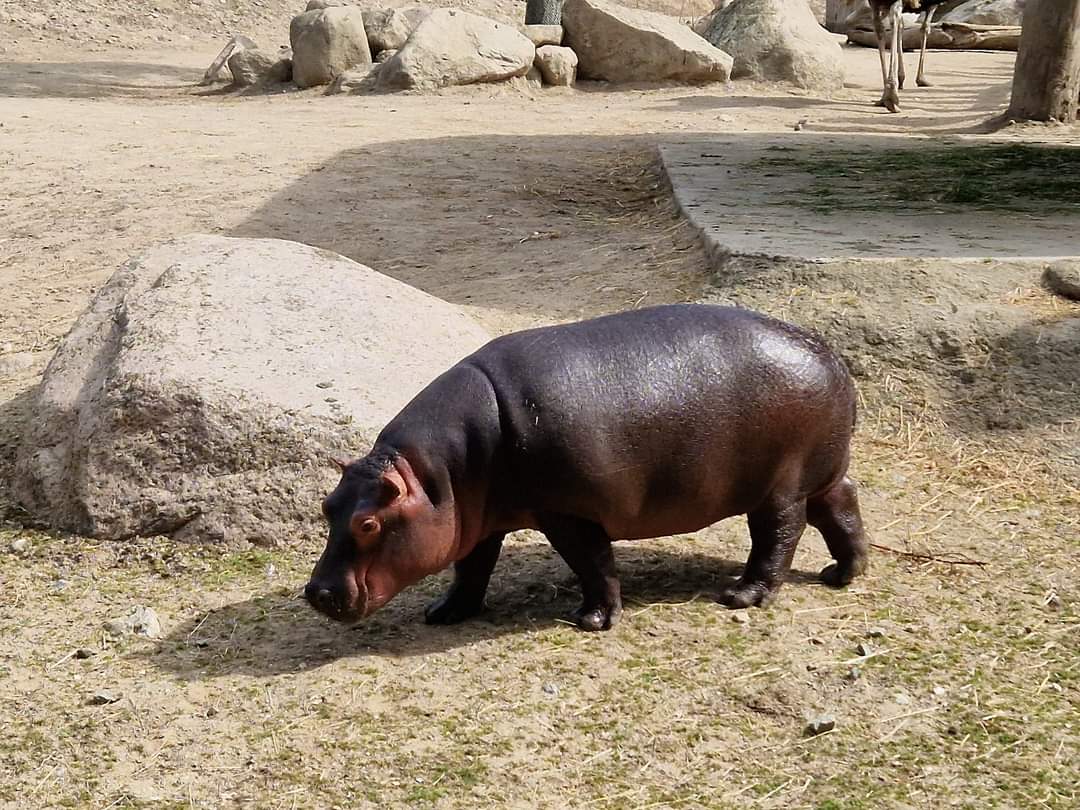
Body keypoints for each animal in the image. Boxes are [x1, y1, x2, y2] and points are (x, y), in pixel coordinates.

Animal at [305, 304, 868, 631]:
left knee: (779, 535)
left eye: (368, 523)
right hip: (821, 473)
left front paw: (591, 620)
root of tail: (832, 357)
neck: (432, 477)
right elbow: (471, 566)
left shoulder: (569, 513)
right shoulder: (476, 519)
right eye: (327, 506)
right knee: (842, 505)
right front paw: (443, 613)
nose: (315, 593)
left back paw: (740, 596)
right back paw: (843, 574)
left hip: (781, 486)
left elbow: (592, 563)